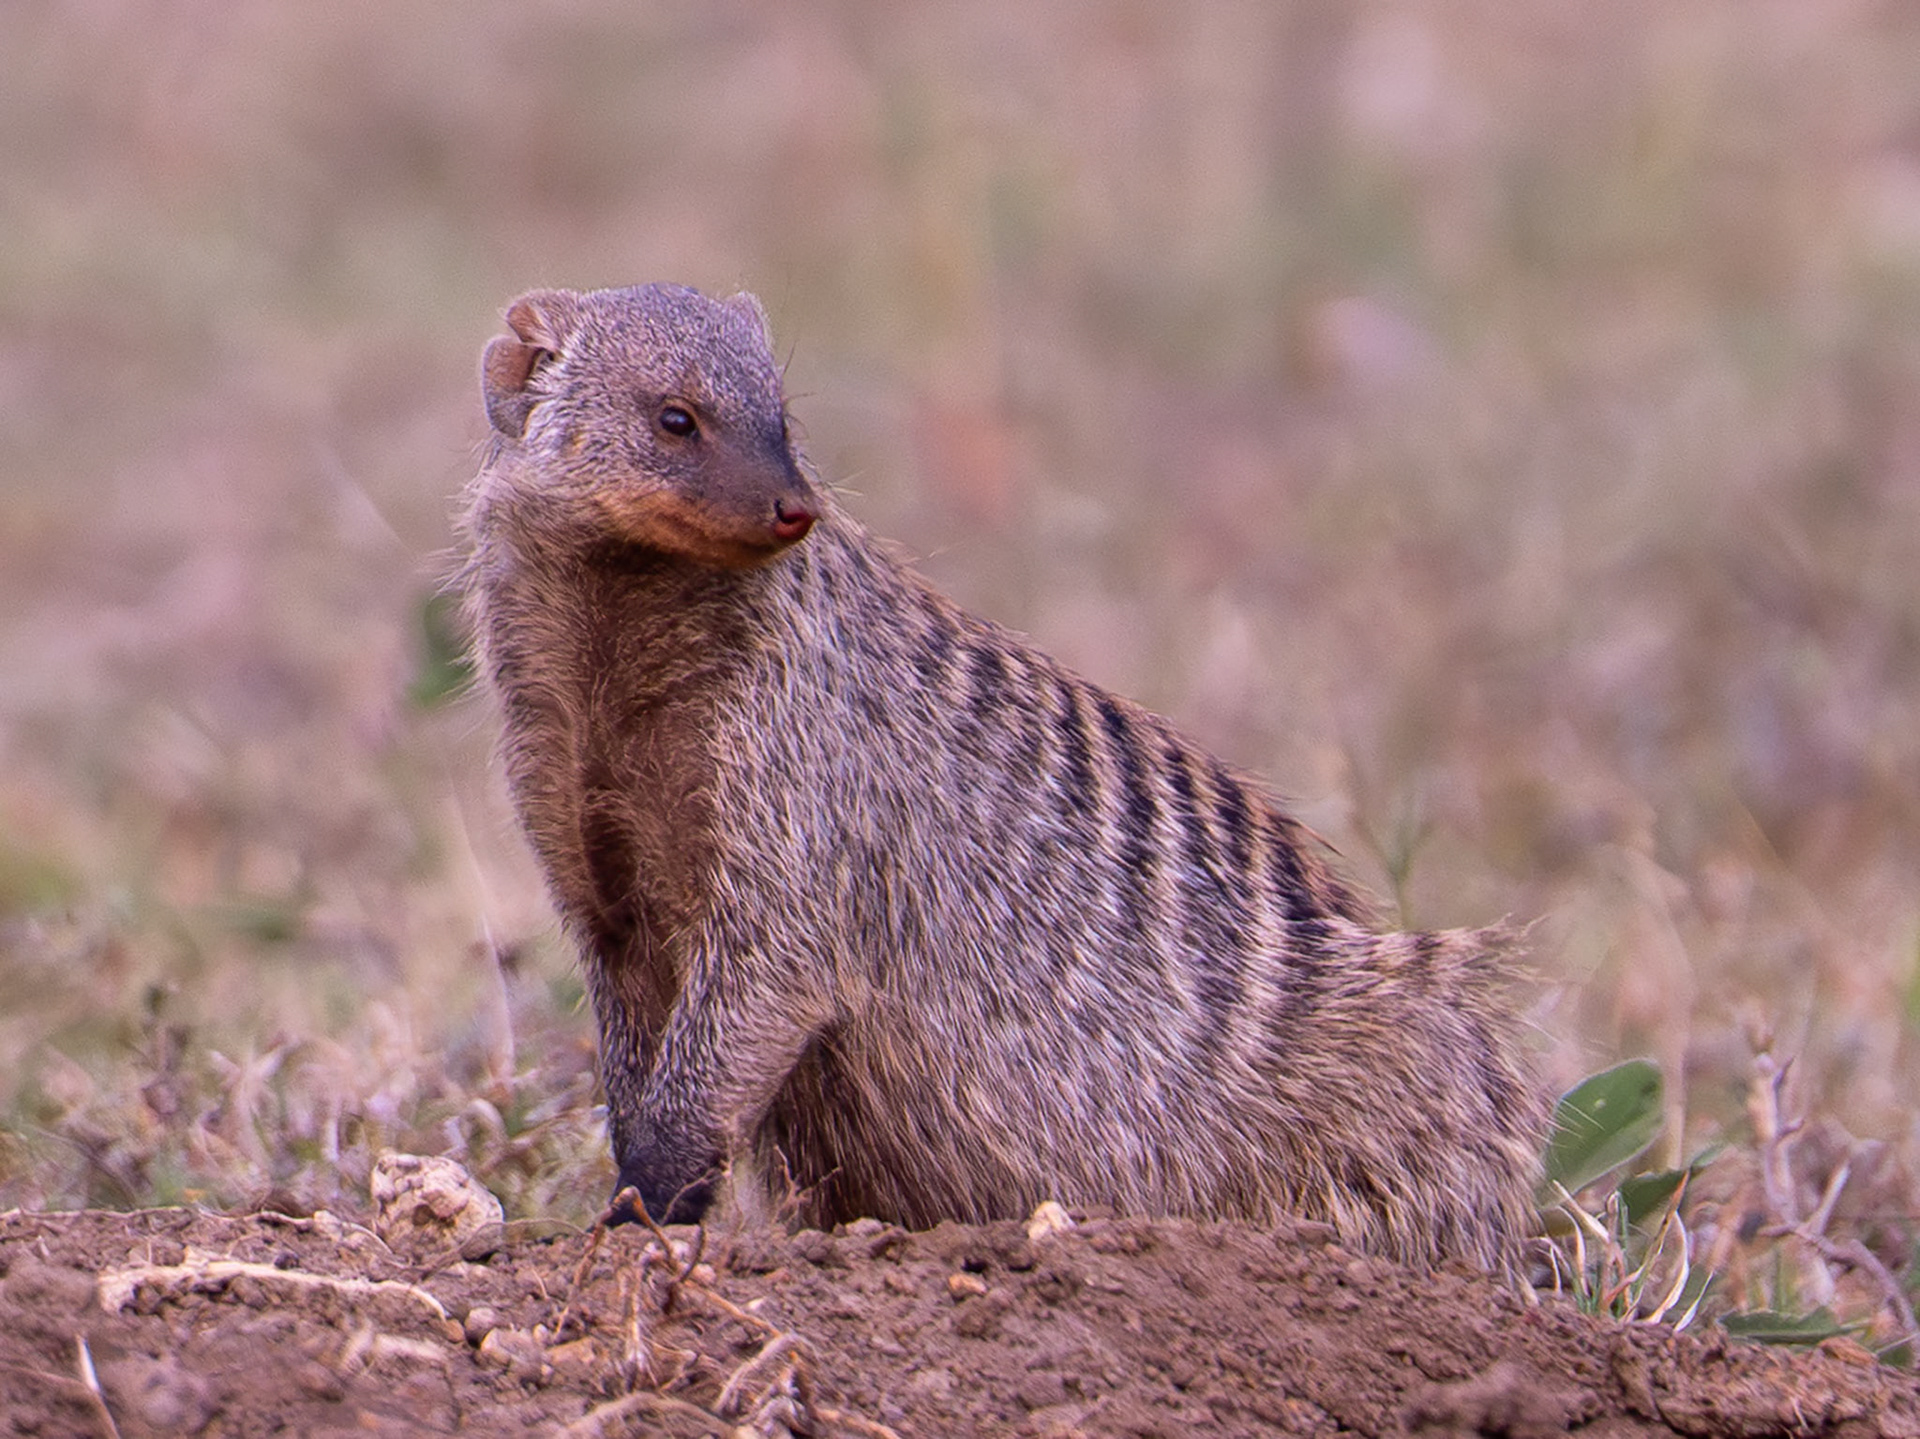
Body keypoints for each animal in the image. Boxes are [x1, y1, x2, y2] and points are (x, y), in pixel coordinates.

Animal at [460, 283, 1543, 1272]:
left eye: (783, 418)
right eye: (676, 417)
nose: (793, 506)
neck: (615, 665)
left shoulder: (800, 796)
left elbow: (756, 994)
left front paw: (640, 1213)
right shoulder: (584, 844)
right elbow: (631, 1045)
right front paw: (629, 1206)